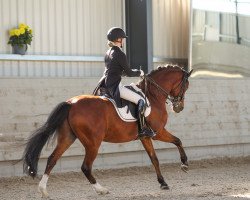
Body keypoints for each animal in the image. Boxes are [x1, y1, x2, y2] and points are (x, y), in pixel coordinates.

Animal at [22, 64, 192, 197]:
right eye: (186, 86)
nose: (179, 107)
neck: (153, 95)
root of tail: (71, 103)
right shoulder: (158, 132)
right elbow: (178, 140)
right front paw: (184, 164)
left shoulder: (145, 136)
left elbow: (154, 158)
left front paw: (163, 183)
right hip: (93, 143)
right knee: (85, 167)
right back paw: (101, 190)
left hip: (67, 137)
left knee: (52, 159)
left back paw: (43, 190)